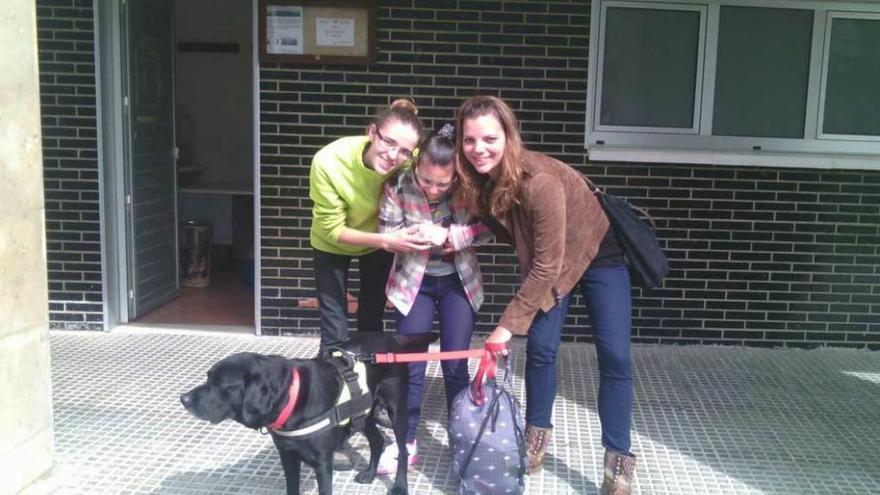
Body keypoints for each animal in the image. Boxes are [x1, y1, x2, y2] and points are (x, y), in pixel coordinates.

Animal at [180, 334, 438, 495]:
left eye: (221, 386)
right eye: (207, 377)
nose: (183, 399)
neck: (290, 396)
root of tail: (392, 339)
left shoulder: (322, 463)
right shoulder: (288, 456)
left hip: (397, 410)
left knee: (402, 451)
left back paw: (400, 486)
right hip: (364, 412)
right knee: (377, 441)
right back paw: (369, 474)